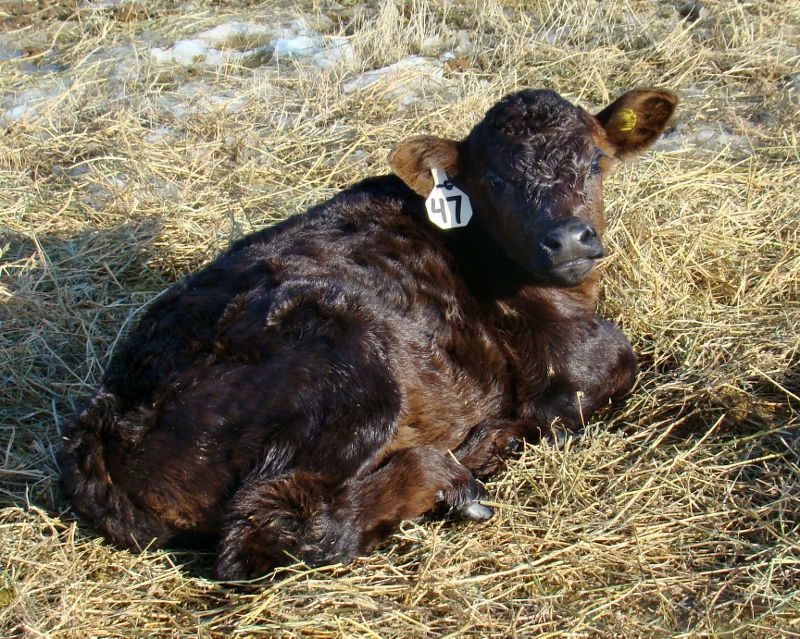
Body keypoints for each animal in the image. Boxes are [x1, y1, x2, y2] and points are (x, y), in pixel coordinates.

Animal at [59, 87, 677, 580]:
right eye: (495, 180)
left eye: (596, 160)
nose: (568, 238)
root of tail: (107, 419)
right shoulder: (567, 361)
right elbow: (612, 366)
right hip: (347, 367)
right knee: (269, 534)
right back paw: (452, 474)